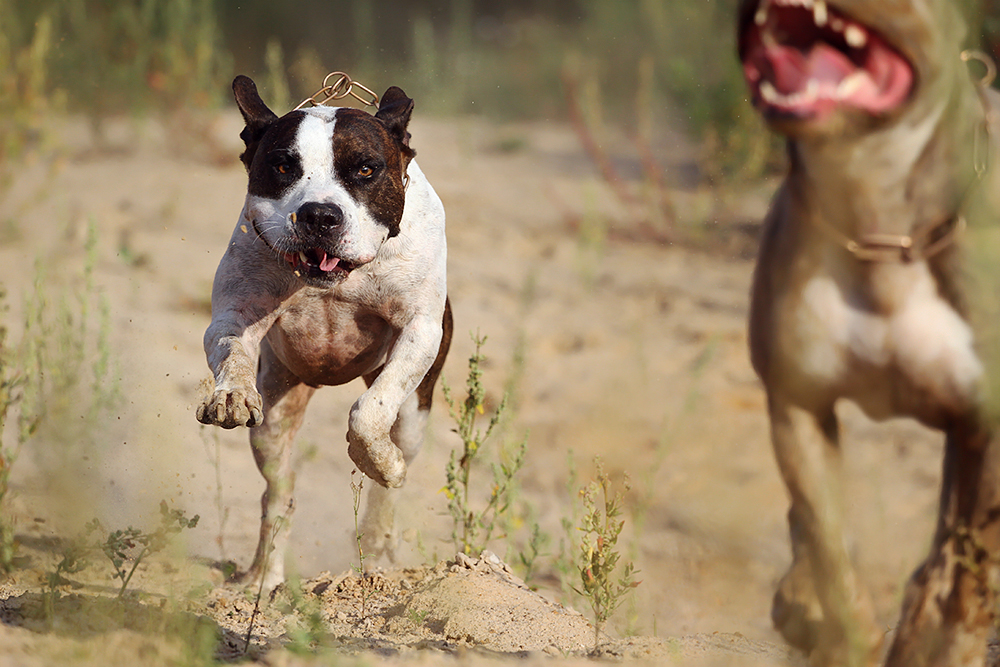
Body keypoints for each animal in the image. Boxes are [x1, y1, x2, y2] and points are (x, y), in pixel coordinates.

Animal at [736, 1, 1000, 667]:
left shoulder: (992, 426)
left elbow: (967, 571)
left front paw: (944, 639)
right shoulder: (796, 406)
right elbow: (829, 545)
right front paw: (838, 629)